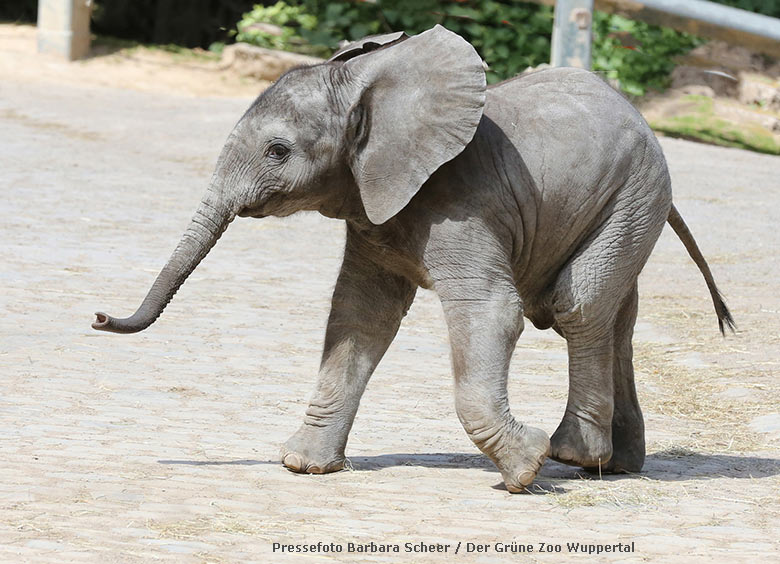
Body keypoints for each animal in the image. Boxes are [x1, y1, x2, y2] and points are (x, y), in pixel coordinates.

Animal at [94, 27, 736, 494]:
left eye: (277, 152)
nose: (99, 317)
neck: (365, 87)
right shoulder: (373, 204)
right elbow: (359, 318)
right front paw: (305, 466)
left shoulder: (462, 203)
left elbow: (489, 311)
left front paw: (525, 470)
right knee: (614, 317)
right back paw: (616, 464)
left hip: (635, 192)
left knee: (575, 304)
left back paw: (573, 455)